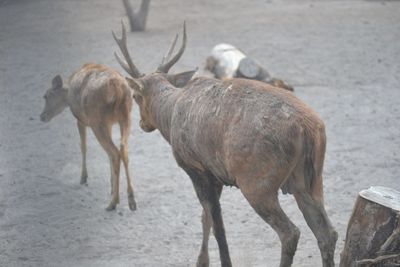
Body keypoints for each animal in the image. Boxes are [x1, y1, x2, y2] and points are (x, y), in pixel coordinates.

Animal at [40, 62, 137, 211]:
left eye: (46, 96)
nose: (42, 116)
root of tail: (116, 88)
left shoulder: (80, 120)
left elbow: (83, 146)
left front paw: (83, 178)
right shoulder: (110, 123)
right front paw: (111, 186)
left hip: (97, 121)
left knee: (115, 153)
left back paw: (113, 203)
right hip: (126, 116)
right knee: (122, 149)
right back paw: (131, 200)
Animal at [112, 22, 338, 266]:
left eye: (135, 96)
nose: (142, 123)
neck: (169, 114)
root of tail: (308, 129)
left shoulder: (195, 168)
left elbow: (217, 225)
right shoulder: (216, 175)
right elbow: (206, 219)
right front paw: (201, 260)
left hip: (257, 183)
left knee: (290, 232)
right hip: (310, 180)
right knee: (328, 233)